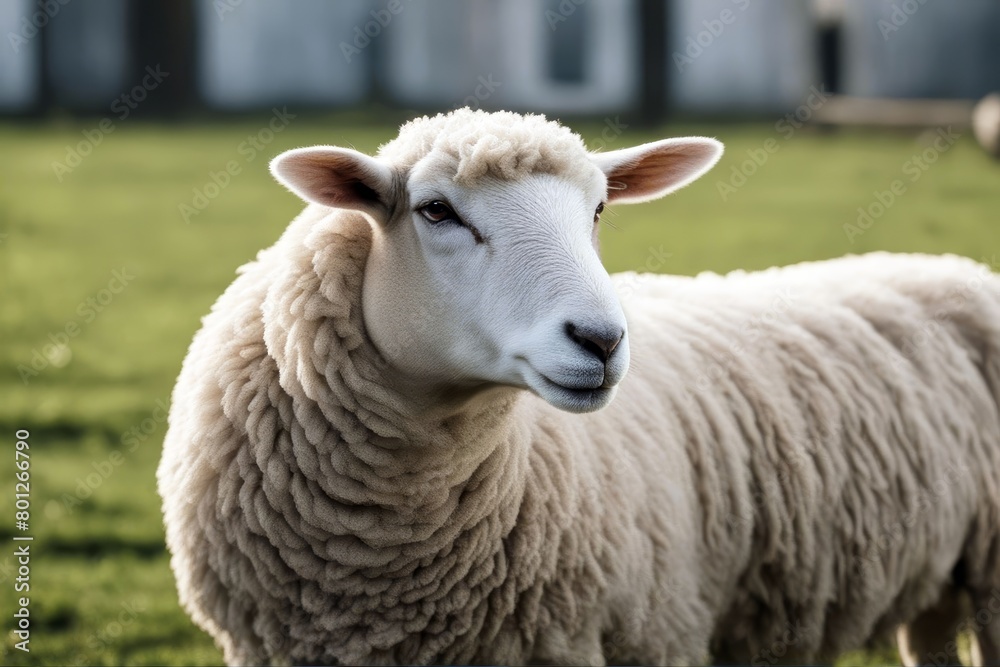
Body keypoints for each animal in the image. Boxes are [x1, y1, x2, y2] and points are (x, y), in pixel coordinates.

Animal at [156, 107, 1000, 664]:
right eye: (436, 210)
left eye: (598, 209)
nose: (601, 340)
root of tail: (954, 266)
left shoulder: (654, 633)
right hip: (938, 587)